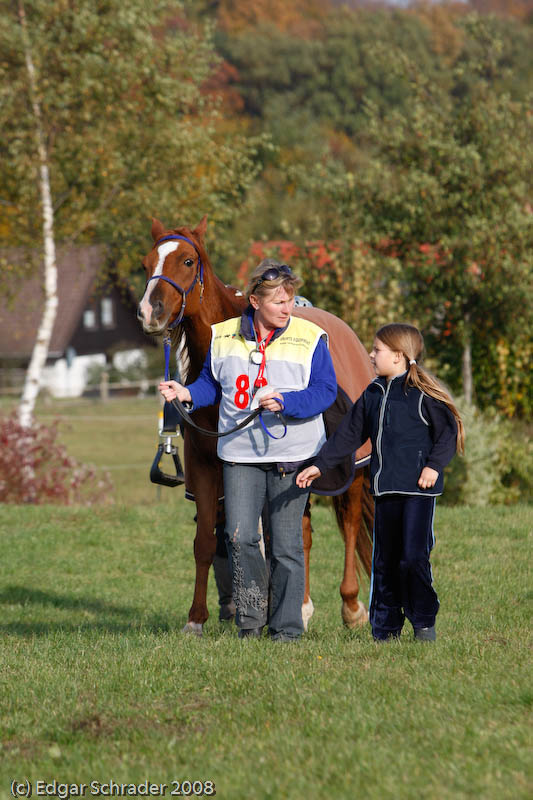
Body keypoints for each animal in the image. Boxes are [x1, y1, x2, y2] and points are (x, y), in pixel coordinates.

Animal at [139, 216, 376, 636]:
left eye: (187, 261)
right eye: (147, 261)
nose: (150, 311)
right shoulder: (206, 467)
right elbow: (206, 542)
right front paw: (196, 619)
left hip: (352, 468)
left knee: (348, 526)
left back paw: (351, 608)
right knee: (301, 533)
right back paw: (302, 608)